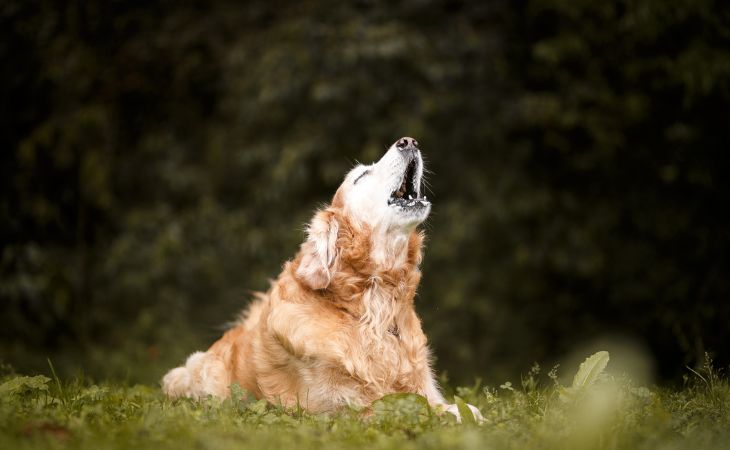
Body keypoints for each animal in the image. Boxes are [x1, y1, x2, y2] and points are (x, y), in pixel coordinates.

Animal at [164, 138, 480, 422]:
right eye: (361, 176)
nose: (409, 141)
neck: (372, 306)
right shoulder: (337, 408)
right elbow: (406, 409)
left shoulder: (423, 387)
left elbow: (451, 406)